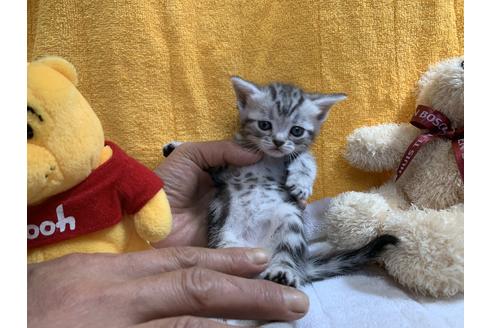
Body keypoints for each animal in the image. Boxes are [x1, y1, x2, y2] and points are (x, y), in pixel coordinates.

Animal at [163, 76, 398, 288]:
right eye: (264, 125)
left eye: (296, 130)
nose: (278, 141)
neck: (268, 157)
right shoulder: (227, 170)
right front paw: (176, 146)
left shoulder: (294, 158)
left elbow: (305, 158)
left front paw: (301, 183)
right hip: (224, 236)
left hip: (289, 220)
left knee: (286, 254)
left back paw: (282, 272)